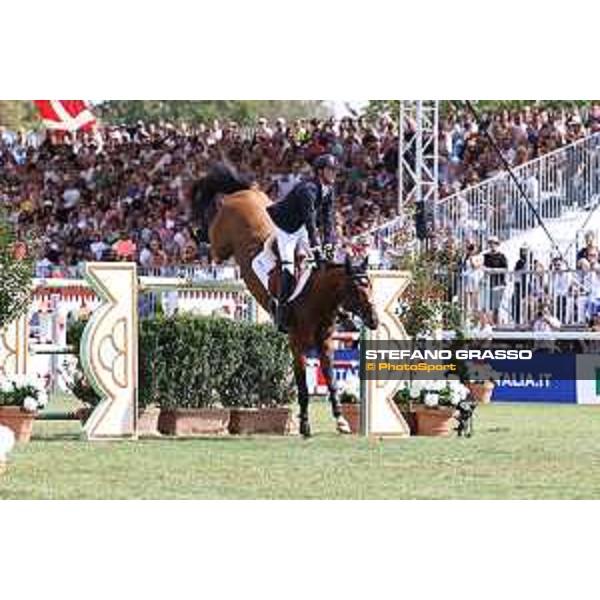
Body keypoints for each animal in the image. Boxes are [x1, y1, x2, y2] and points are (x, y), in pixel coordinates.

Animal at [192, 163, 380, 436]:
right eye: (356, 289)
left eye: (371, 286)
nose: (374, 320)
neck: (317, 298)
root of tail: (244, 193)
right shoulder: (297, 344)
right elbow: (303, 387)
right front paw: (304, 425)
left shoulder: (326, 344)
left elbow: (332, 381)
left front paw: (341, 420)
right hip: (222, 243)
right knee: (212, 239)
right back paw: (196, 235)